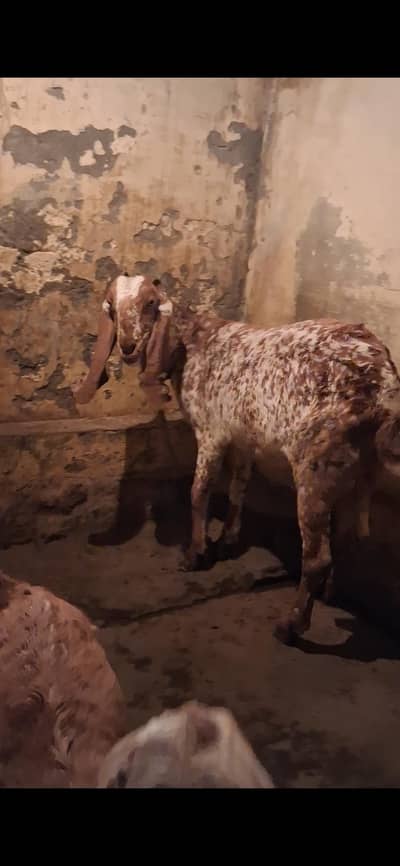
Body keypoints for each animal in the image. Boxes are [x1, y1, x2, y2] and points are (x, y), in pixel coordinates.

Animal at [75, 274, 400, 644]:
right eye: (112, 308)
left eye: (150, 304)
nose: (128, 346)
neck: (194, 344)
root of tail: (382, 380)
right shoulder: (245, 438)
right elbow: (238, 487)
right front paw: (227, 541)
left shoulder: (211, 432)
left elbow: (199, 492)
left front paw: (195, 553)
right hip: (349, 467)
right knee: (342, 538)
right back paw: (328, 594)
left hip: (315, 462)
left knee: (317, 556)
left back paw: (290, 626)